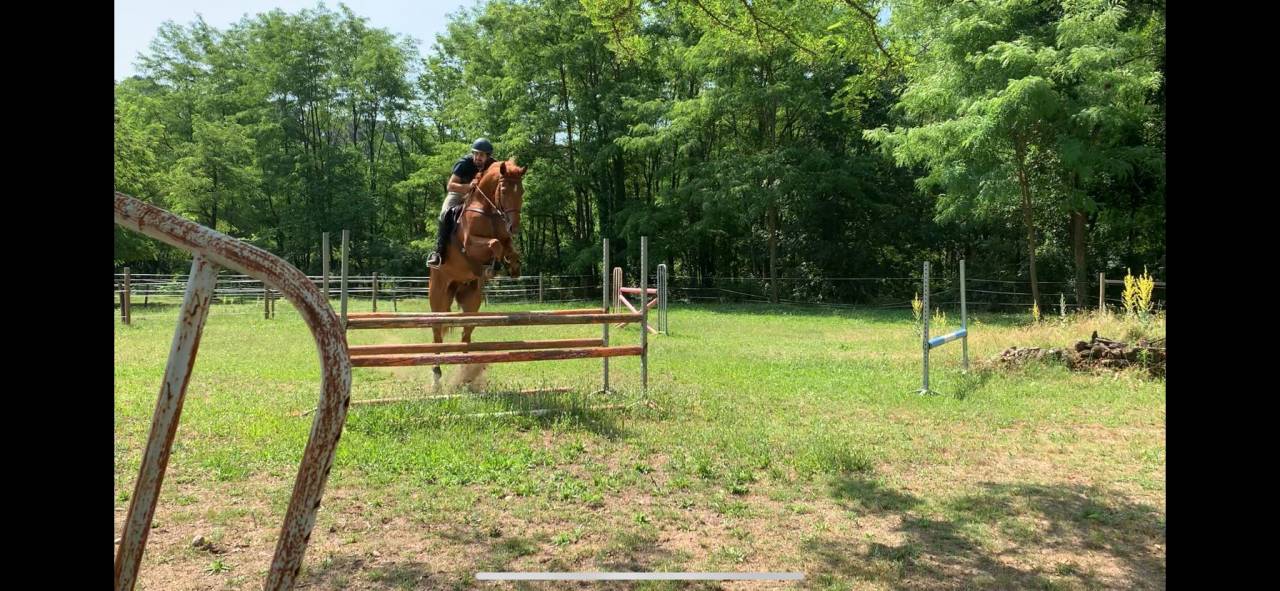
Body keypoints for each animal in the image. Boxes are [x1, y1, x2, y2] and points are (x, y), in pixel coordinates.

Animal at [427, 158, 526, 389]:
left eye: (522, 191)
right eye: (504, 190)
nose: (514, 227)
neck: (488, 209)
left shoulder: (505, 238)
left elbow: (508, 247)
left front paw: (512, 268)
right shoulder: (470, 244)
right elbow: (495, 244)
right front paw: (491, 268)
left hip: (471, 299)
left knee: (466, 333)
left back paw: (465, 374)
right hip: (438, 298)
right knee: (437, 334)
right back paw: (436, 378)